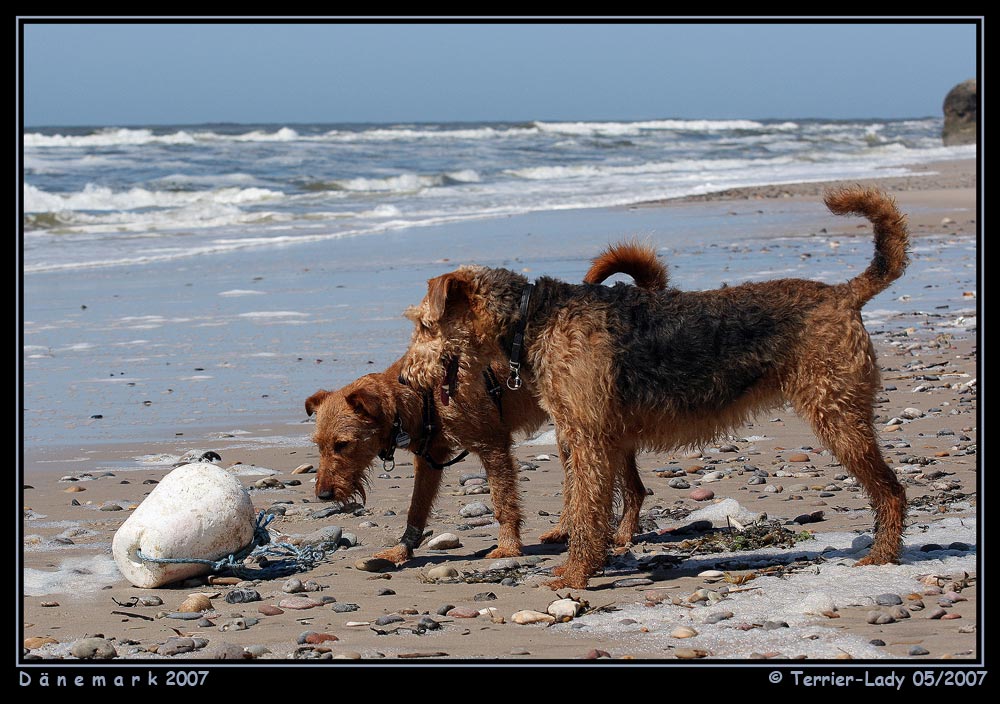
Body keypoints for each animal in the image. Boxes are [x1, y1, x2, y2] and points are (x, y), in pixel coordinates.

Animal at [304, 245, 664, 564]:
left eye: (342, 444)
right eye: (319, 445)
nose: (323, 495)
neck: (422, 394)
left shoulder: (493, 446)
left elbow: (503, 502)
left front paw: (507, 547)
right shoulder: (431, 460)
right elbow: (416, 508)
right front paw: (401, 550)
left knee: (631, 488)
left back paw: (622, 533)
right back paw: (566, 530)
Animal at [400, 187, 916, 588]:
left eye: (424, 325)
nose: (406, 378)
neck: (532, 318)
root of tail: (845, 294)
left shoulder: (587, 439)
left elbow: (586, 510)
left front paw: (574, 575)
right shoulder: (584, 436)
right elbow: (585, 505)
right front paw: (585, 563)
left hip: (838, 414)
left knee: (891, 489)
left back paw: (881, 556)